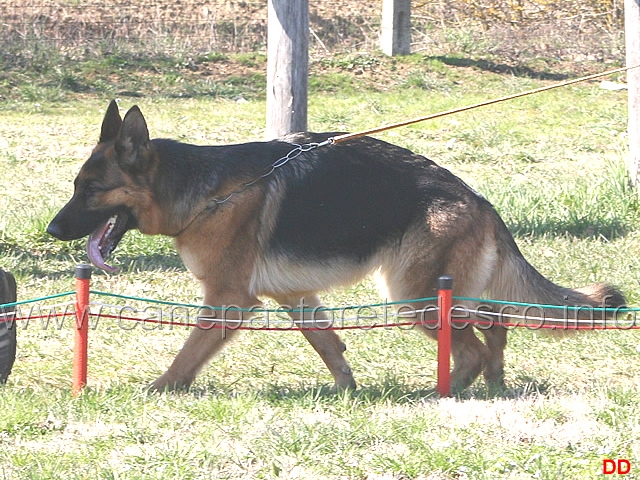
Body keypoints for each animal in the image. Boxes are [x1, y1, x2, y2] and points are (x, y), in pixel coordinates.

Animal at [47, 101, 628, 394]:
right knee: (495, 327)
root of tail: (478, 198)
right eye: (76, 186)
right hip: (442, 292)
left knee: (472, 349)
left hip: (414, 295)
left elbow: (188, 354)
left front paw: (160, 388)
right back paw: (494, 386)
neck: (203, 192)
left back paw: (438, 394)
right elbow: (328, 345)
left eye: (90, 190)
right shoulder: (295, 297)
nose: (52, 231)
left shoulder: (229, 301)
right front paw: (347, 389)